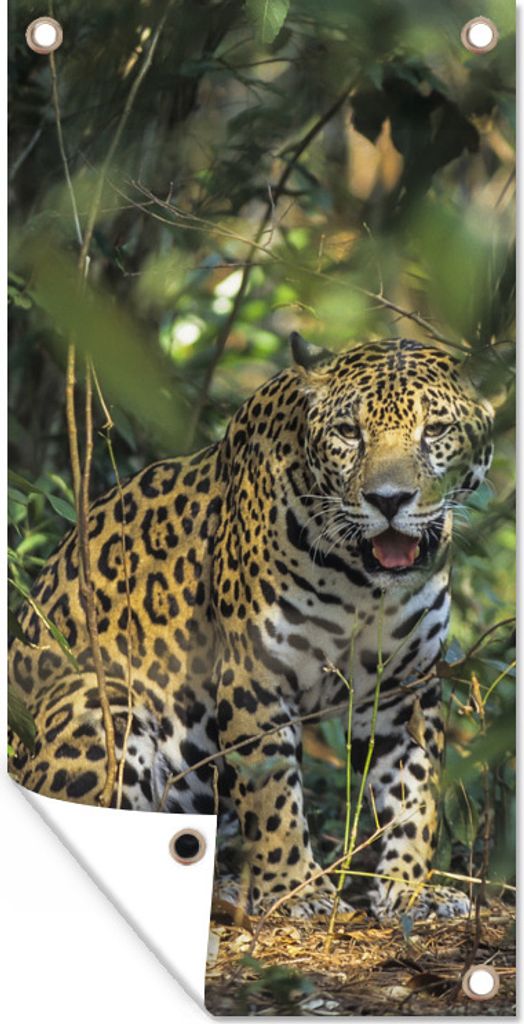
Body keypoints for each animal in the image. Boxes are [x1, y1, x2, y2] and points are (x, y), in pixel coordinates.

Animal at [9, 336, 494, 920]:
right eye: (349, 432)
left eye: (436, 430)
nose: (389, 500)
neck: (363, 582)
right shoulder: (255, 675)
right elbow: (272, 792)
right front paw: (296, 887)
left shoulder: (407, 688)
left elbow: (416, 794)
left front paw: (412, 888)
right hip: (99, 701)